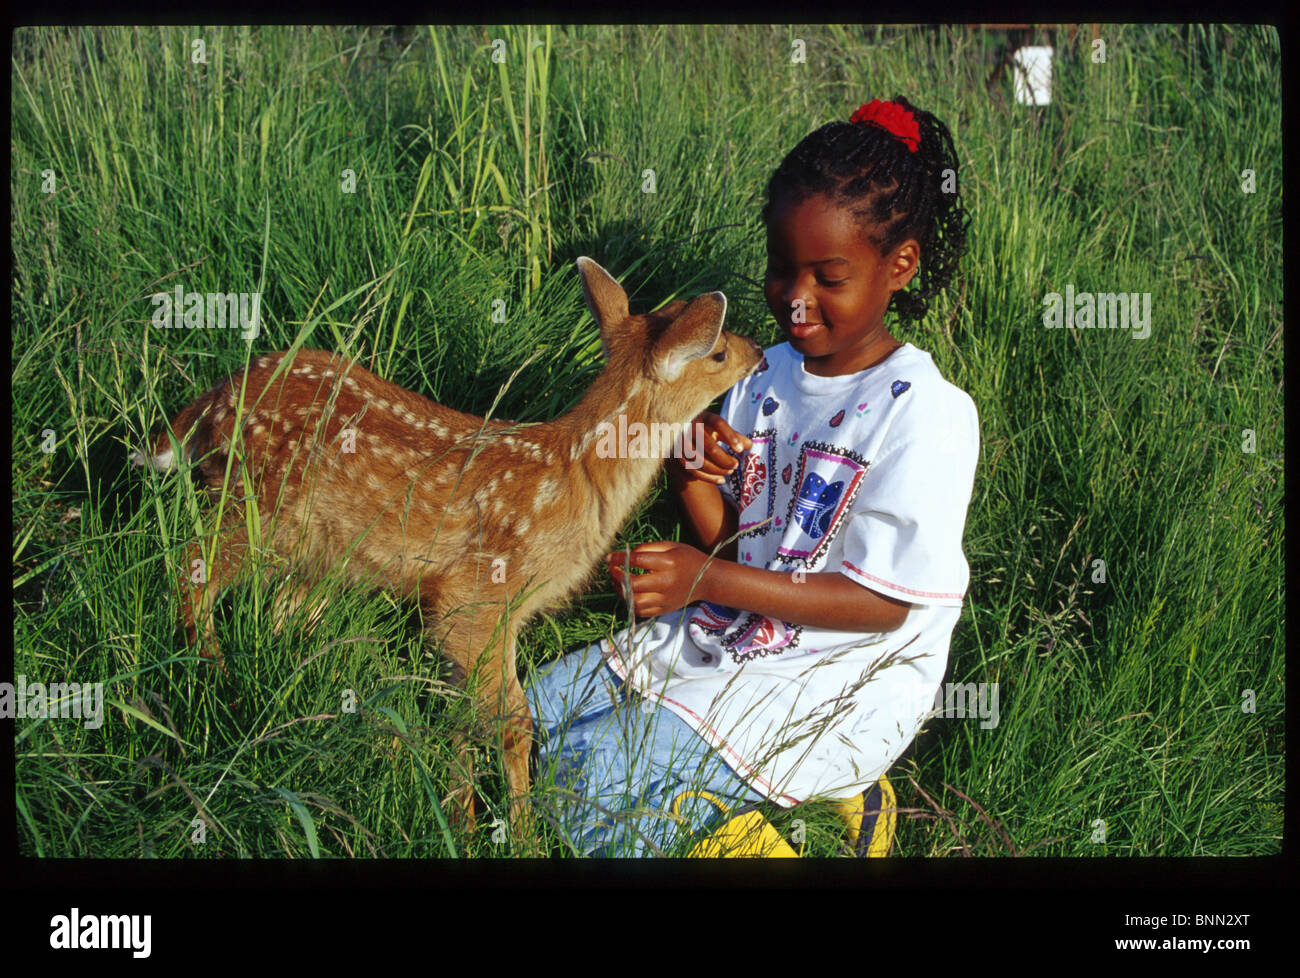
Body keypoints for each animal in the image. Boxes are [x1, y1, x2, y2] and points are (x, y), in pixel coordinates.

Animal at [131, 257, 763, 840]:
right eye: (717, 352)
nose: (758, 348)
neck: (578, 477)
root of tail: (216, 396)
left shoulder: (467, 616)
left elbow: (461, 714)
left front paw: (460, 818)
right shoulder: (480, 591)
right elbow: (513, 724)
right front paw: (519, 836)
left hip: (312, 544)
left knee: (280, 608)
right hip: (256, 503)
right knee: (192, 568)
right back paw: (210, 675)